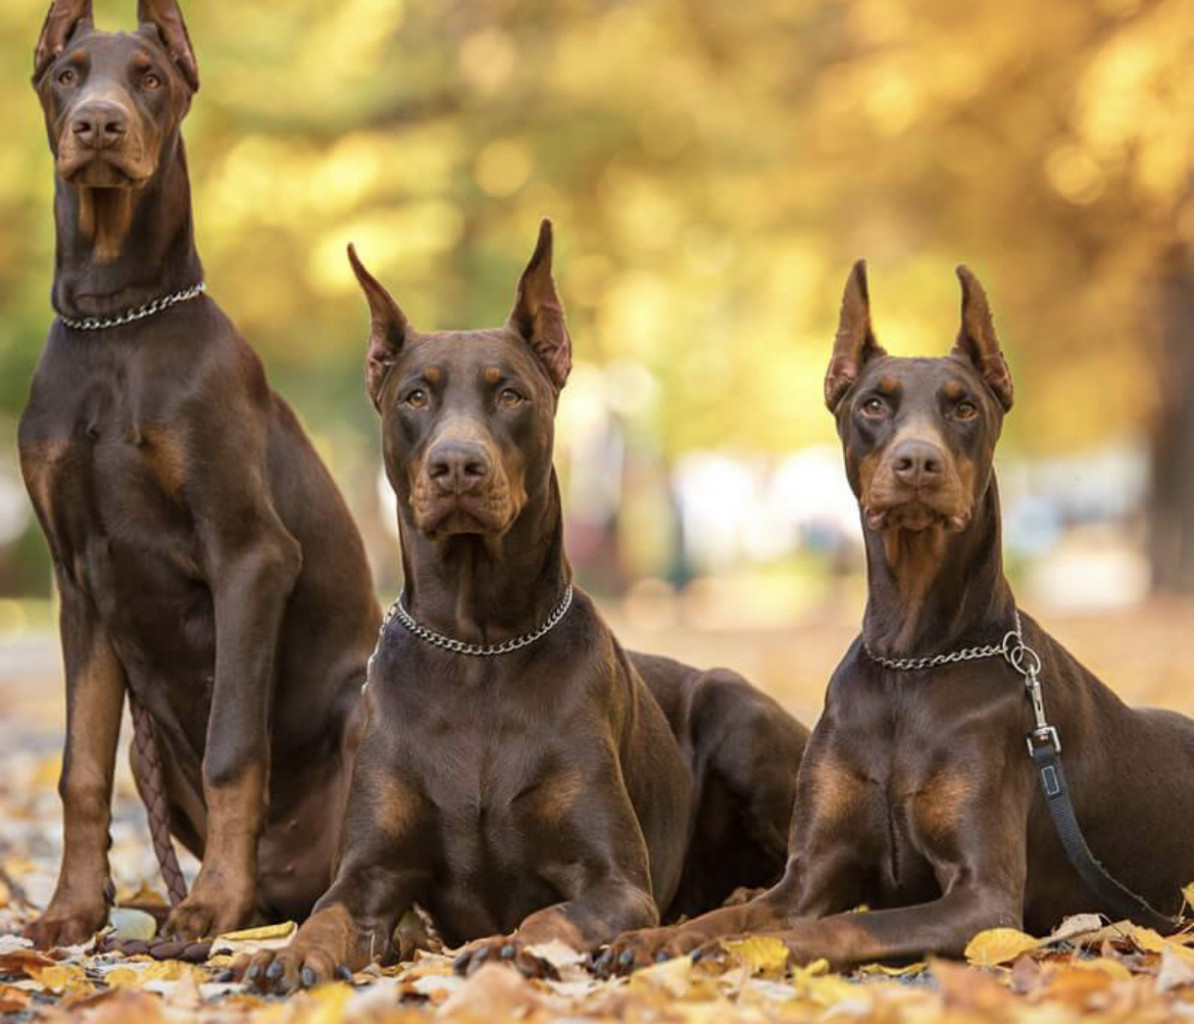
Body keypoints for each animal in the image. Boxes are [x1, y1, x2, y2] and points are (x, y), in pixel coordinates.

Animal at [21, 0, 379, 945]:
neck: (117, 320)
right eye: (67, 73)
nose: (98, 125)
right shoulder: (79, 581)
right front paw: (72, 910)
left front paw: (212, 902)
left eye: (150, 76)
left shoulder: (249, 556)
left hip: (369, 698)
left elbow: (234, 748)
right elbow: (79, 768)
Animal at [235, 217, 811, 988]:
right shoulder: (367, 873)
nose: (457, 465)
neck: (478, 647)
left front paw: (510, 946)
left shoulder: (614, 880)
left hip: (738, 714)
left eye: (509, 394)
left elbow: (550, 917)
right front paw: (287, 953)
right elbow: (326, 915)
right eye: (415, 397)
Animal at [611, 258, 1194, 969]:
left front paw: (741, 951)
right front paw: (653, 938)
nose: (917, 462)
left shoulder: (984, 900)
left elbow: (824, 930)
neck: (911, 660)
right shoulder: (809, 872)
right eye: (873, 403)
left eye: (965, 406)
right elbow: (736, 915)